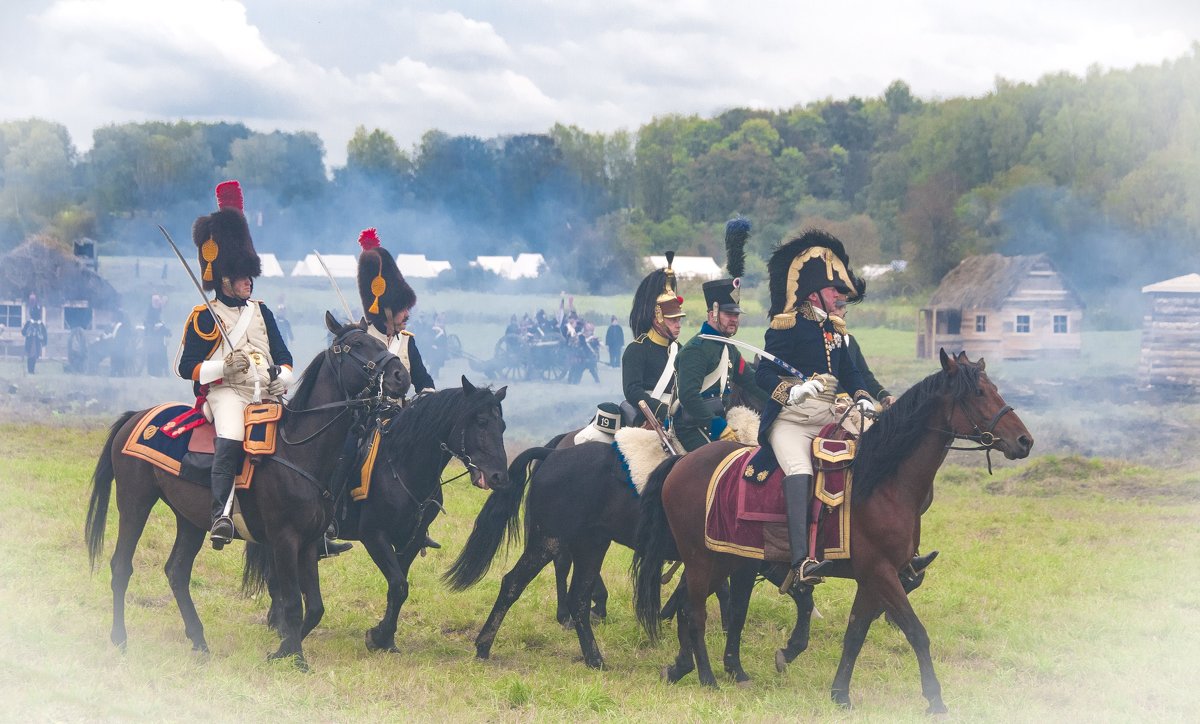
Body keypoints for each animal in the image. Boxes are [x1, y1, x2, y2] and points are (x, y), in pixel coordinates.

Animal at [85, 314, 408, 672]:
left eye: (379, 341)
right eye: (357, 346)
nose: (401, 376)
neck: (299, 448)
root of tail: (137, 417)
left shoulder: (310, 541)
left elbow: (315, 606)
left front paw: (282, 649)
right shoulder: (284, 539)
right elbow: (293, 603)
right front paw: (295, 658)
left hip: (190, 519)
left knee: (177, 571)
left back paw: (199, 640)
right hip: (134, 503)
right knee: (121, 566)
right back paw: (120, 639)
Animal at [243, 377, 511, 653]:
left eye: (502, 426)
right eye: (481, 422)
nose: (499, 477)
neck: (402, 465)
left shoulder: (410, 541)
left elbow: (399, 587)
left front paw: (385, 638)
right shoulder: (374, 536)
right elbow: (398, 584)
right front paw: (379, 636)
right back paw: (280, 623)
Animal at [633, 350, 1036, 715]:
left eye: (994, 388)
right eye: (978, 393)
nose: (1024, 441)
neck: (884, 482)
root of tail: (682, 462)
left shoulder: (873, 578)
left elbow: (855, 634)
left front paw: (840, 694)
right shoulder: (882, 573)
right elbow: (916, 632)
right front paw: (935, 699)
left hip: (727, 559)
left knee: (690, 607)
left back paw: (683, 668)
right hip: (702, 559)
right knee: (695, 613)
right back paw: (707, 679)